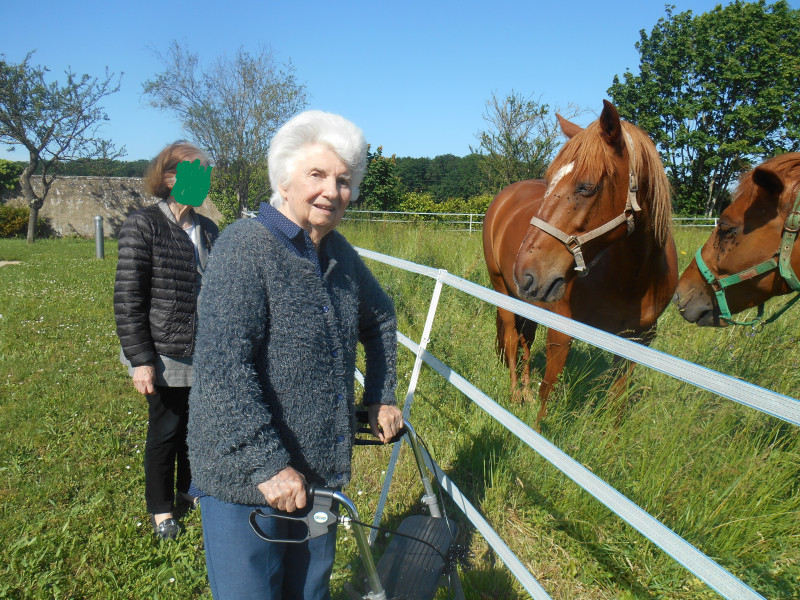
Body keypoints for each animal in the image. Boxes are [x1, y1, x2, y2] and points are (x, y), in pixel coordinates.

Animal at [484, 101, 680, 424]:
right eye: (549, 181)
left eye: (586, 187)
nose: (525, 274)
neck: (632, 278)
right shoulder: (562, 331)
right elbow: (547, 392)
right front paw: (536, 430)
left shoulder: (636, 341)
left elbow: (617, 402)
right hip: (503, 291)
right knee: (513, 339)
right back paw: (514, 394)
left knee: (525, 340)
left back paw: (523, 389)